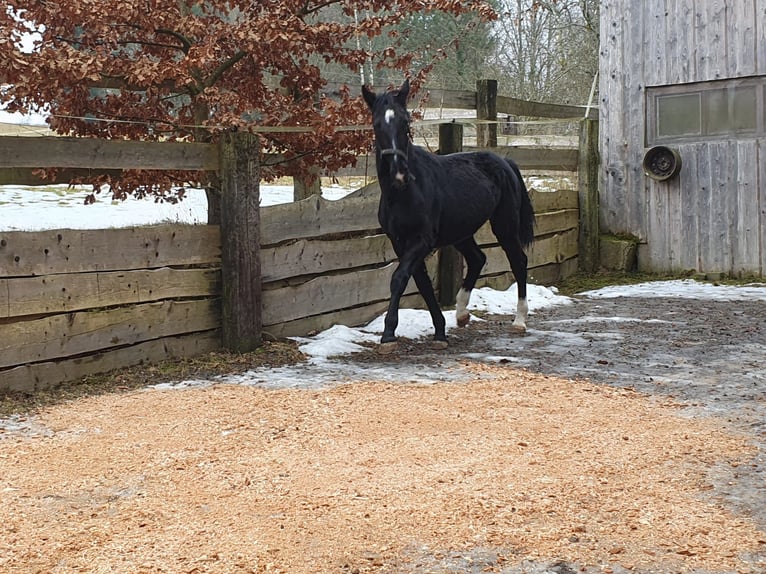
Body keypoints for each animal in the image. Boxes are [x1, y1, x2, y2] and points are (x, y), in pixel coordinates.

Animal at [364, 79, 536, 354]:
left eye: (406, 122)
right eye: (377, 124)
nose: (399, 173)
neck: (405, 193)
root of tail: (504, 162)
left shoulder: (421, 241)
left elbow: (399, 278)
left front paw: (389, 334)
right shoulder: (400, 242)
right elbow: (422, 282)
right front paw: (440, 332)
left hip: (504, 226)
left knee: (518, 261)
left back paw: (519, 321)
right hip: (461, 232)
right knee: (477, 259)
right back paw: (462, 314)